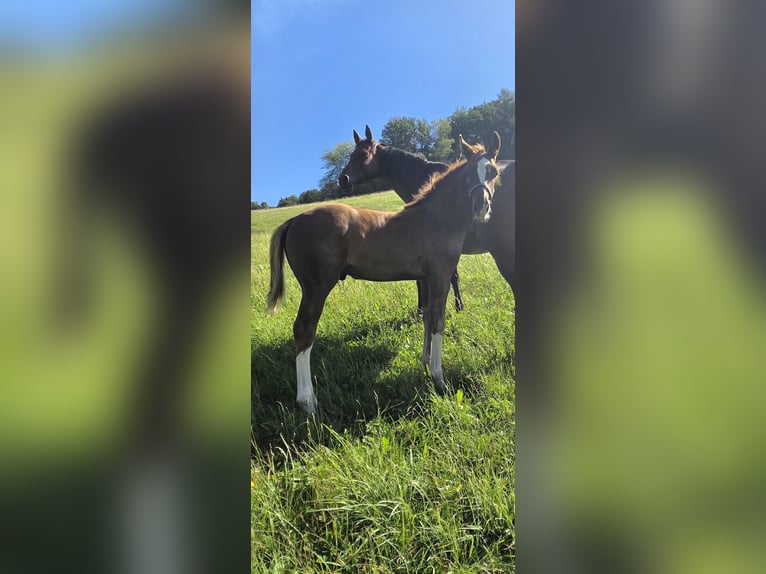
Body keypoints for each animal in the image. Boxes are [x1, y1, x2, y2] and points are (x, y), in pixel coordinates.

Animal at [339, 125, 464, 313]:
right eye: (351, 155)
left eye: (363, 154)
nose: (343, 179)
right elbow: (419, 279)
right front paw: (421, 309)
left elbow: (452, 275)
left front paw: (458, 306)